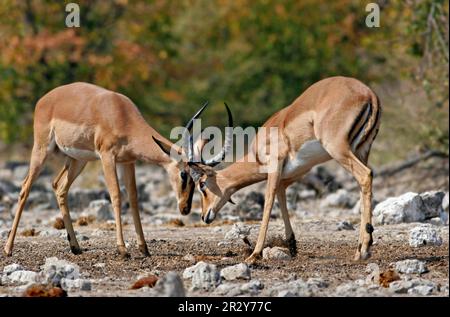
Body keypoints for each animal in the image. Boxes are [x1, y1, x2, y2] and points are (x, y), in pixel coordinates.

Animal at [3, 81, 234, 256]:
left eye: (199, 180)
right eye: (184, 174)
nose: (185, 208)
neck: (121, 115)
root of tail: (44, 99)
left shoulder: (127, 162)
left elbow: (133, 198)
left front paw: (144, 248)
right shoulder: (107, 157)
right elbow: (116, 195)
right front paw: (123, 249)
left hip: (77, 159)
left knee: (59, 187)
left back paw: (76, 247)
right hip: (42, 149)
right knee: (25, 187)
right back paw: (8, 248)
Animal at [188, 76, 382, 262]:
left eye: (202, 185)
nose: (204, 216)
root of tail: (369, 93)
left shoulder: (275, 167)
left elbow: (268, 202)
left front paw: (255, 254)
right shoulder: (296, 172)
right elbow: (281, 197)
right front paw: (292, 246)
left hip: (338, 150)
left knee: (366, 175)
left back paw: (364, 249)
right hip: (361, 151)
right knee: (362, 185)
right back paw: (359, 250)